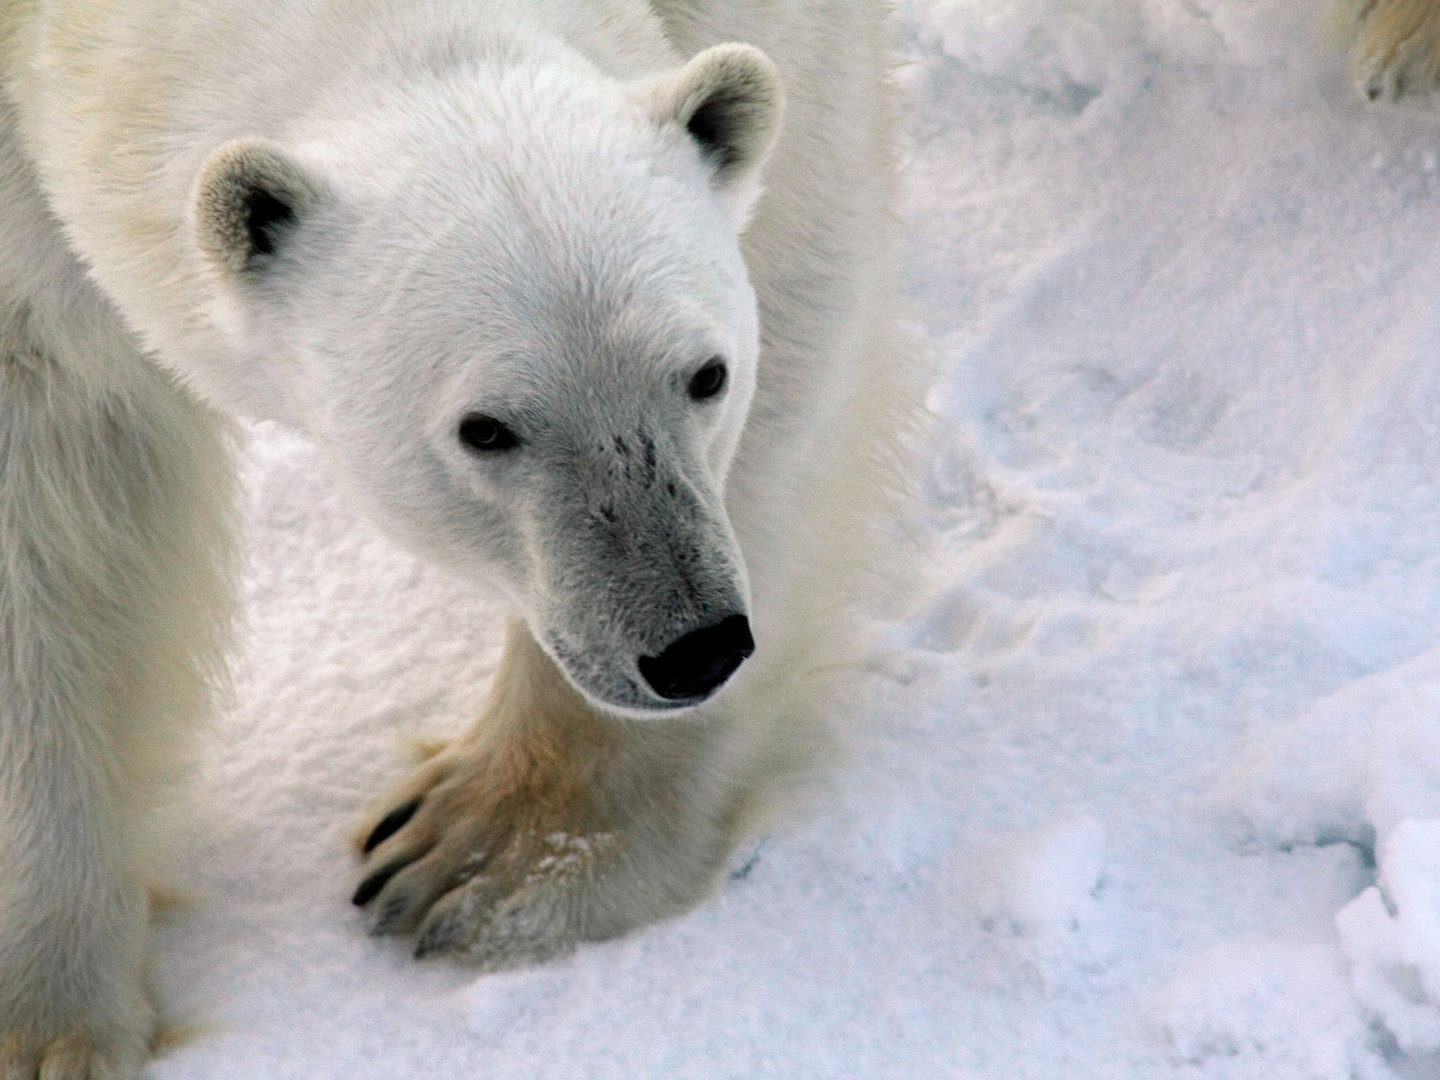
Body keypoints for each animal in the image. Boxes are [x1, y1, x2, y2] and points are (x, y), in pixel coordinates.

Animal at [0, 0, 918, 1075]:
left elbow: (799, 257)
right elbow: (51, 481)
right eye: (486, 428)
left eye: (706, 374)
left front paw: (469, 858)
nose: (694, 648)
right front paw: (54, 1021)